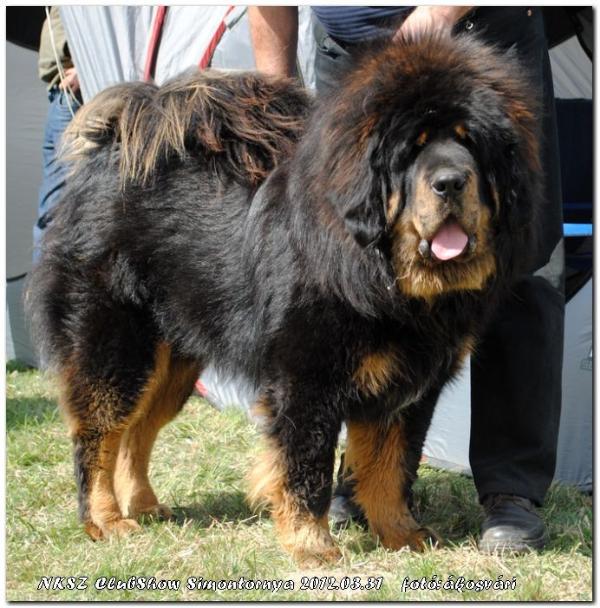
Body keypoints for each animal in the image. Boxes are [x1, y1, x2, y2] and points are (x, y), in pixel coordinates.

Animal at [27, 34, 540, 564]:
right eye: (412, 151)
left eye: (470, 144)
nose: (451, 181)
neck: (381, 274)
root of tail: (109, 159)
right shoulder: (306, 380)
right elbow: (306, 467)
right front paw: (312, 545)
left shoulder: (410, 387)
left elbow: (391, 466)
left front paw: (402, 535)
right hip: (115, 349)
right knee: (98, 435)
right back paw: (105, 520)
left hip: (174, 363)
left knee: (137, 432)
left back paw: (145, 506)